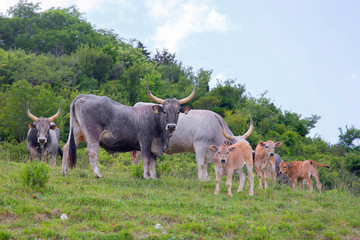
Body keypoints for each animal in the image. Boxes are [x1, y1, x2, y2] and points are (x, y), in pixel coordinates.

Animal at [61, 80, 197, 178]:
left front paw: (154, 178)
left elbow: (153, 162)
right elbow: (146, 159)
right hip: (92, 133)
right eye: (164, 111)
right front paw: (146, 176)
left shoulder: (154, 145)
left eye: (177, 112)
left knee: (66, 147)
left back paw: (64, 171)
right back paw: (98, 174)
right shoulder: (145, 141)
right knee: (92, 151)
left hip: (77, 132)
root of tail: (83, 96)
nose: (171, 126)